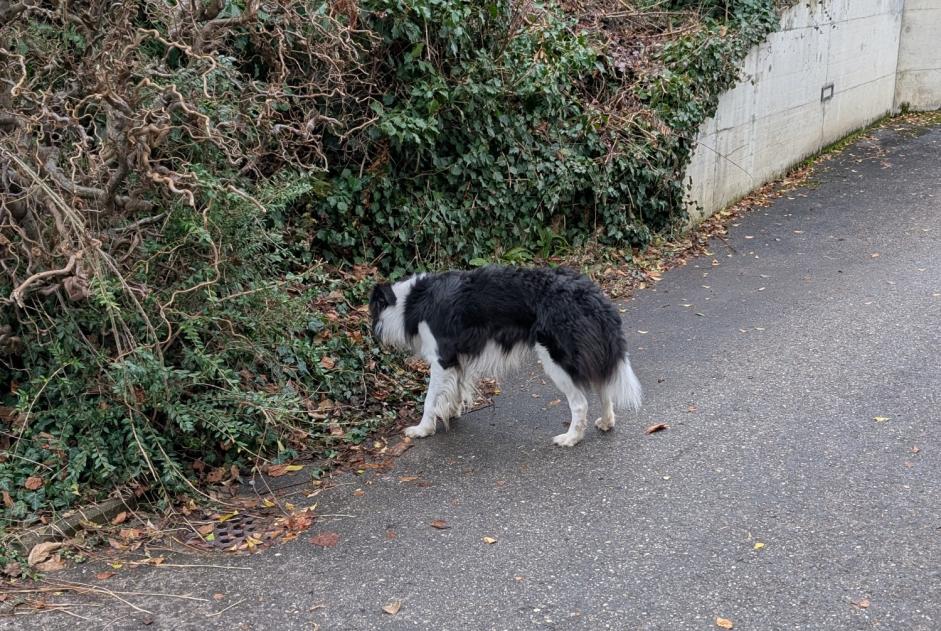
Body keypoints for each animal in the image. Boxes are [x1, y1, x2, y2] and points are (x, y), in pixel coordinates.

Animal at [368, 264, 640, 446]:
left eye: (372, 313)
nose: (373, 337)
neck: (410, 302)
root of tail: (592, 294)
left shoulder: (441, 358)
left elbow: (429, 399)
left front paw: (423, 428)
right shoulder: (457, 358)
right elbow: (455, 388)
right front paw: (451, 412)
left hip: (555, 358)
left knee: (581, 402)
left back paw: (571, 437)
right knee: (603, 386)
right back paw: (606, 422)